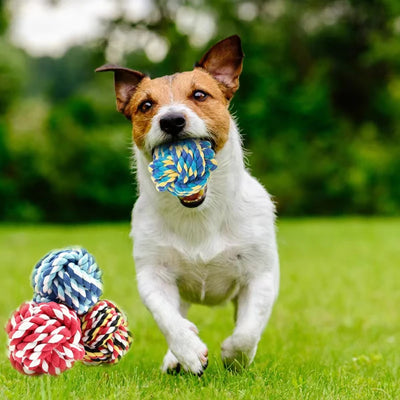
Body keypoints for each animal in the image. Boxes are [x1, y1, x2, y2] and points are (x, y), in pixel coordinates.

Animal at [96, 35, 278, 376]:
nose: (171, 120)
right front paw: (189, 351)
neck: (199, 214)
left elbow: (248, 330)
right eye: (146, 105)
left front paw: (234, 355)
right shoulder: (153, 274)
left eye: (199, 95)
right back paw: (175, 358)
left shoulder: (261, 274)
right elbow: (167, 318)